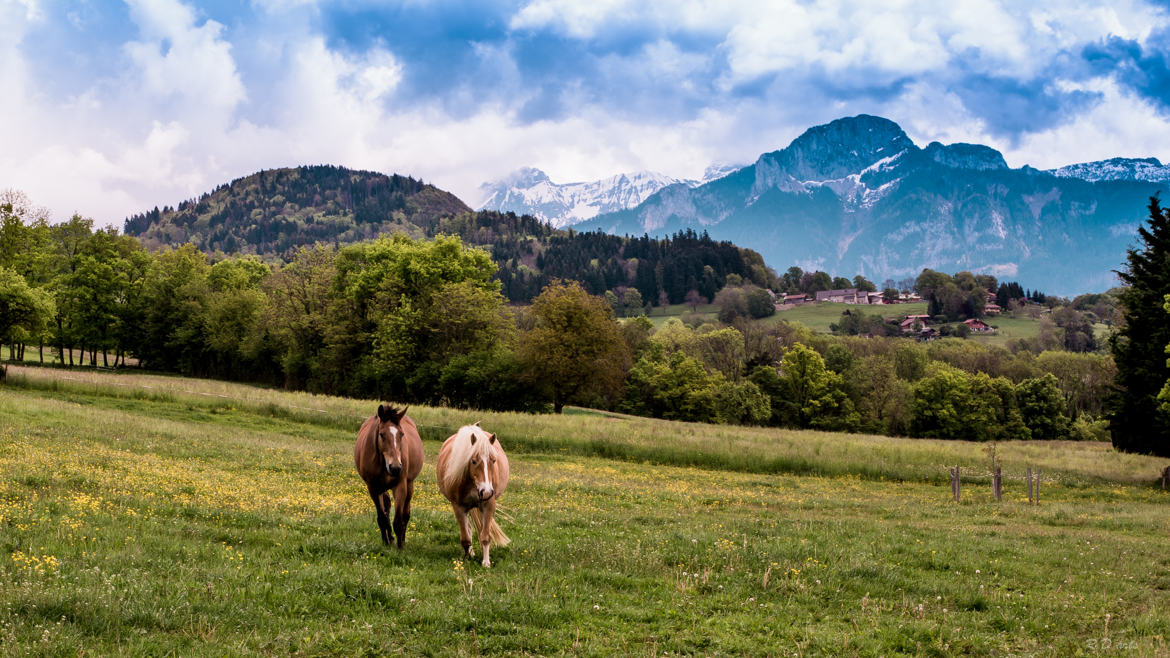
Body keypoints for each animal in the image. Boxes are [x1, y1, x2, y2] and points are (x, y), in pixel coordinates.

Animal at [353, 402, 423, 545]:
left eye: (401, 434)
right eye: (381, 434)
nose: (395, 467)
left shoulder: (400, 485)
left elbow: (398, 521)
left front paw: (400, 546)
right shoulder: (373, 488)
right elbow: (382, 517)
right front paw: (386, 541)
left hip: (409, 484)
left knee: (406, 513)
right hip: (382, 488)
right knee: (387, 507)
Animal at [437, 421, 510, 566]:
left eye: (493, 460)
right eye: (474, 461)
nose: (486, 492)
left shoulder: (488, 505)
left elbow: (485, 536)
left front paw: (486, 563)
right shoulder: (458, 507)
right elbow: (466, 538)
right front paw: (466, 559)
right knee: (469, 530)